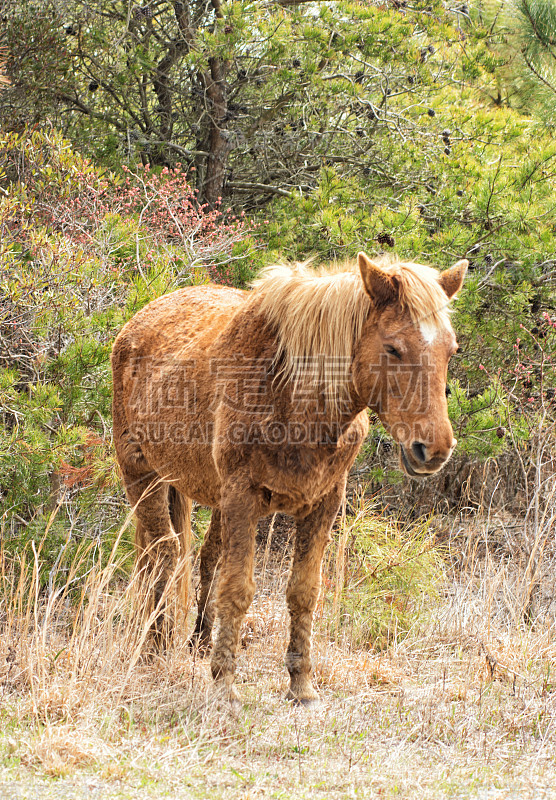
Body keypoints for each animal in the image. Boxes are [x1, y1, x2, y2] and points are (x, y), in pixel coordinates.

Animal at [111, 252, 466, 708]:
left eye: (451, 350)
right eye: (392, 347)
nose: (433, 449)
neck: (294, 395)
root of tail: (137, 322)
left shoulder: (323, 502)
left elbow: (303, 592)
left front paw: (301, 685)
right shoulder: (243, 498)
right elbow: (238, 591)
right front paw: (224, 685)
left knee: (202, 556)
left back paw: (199, 642)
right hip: (143, 476)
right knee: (163, 554)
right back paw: (153, 648)